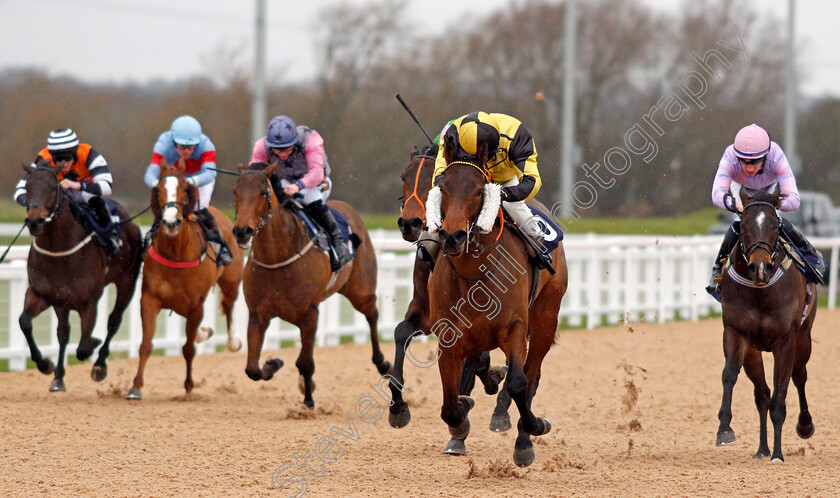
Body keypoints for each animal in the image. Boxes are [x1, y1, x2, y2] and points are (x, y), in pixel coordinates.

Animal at [19, 165, 143, 392]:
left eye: (53, 188)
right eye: (28, 186)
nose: (34, 221)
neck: (59, 251)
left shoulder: (89, 301)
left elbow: (84, 346)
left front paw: (94, 344)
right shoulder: (44, 295)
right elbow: (26, 322)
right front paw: (46, 365)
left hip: (127, 282)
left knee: (114, 321)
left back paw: (100, 365)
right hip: (62, 303)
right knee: (63, 333)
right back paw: (58, 376)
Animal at [124, 164, 244, 400]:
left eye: (183, 190)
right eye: (160, 190)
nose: (171, 222)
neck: (176, 252)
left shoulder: (196, 304)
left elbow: (188, 349)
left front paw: (189, 386)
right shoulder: (149, 299)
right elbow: (146, 345)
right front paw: (136, 386)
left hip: (231, 280)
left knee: (229, 305)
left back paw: (233, 342)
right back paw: (204, 332)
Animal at [233, 161, 390, 406]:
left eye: (262, 193)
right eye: (236, 191)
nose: (242, 231)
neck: (277, 257)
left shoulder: (308, 314)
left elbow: (305, 362)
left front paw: (308, 400)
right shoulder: (258, 315)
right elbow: (252, 369)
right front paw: (273, 363)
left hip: (360, 291)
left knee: (372, 315)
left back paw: (382, 362)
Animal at [430, 137, 568, 466]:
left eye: (479, 190)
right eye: (444, 186)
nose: (453, 236)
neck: (474, 275)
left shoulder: (515, 328)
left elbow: (518, 383)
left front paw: (534, 428)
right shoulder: (449, 339)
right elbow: (450, 405)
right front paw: (460, 423)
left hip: (546, 316)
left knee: (532, 375)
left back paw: (523, 438)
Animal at [716, 185, 812, 464]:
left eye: (774, 226)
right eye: (744, 226)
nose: (760, 268)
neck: (761, 292)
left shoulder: (786, 341)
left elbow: (780, 396)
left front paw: (778, 454)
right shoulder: (736, 334)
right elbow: (729, 375)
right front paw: (724, 429)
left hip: (803, 340)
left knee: (799, 376)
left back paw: (804, 426)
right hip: (754, 351)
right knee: (761, 394)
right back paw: (762, 449)